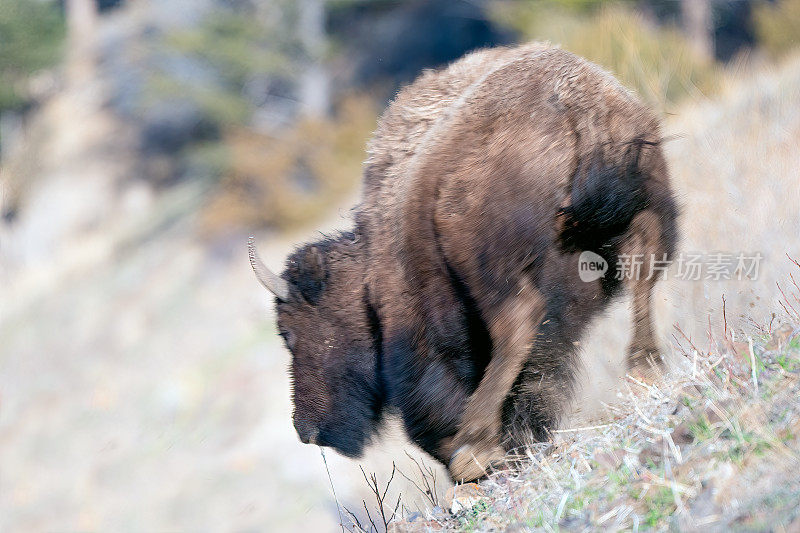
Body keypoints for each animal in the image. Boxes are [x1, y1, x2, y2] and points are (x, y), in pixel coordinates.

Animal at [248, 43, 676, 480]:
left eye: (290, 332)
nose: (307, 430)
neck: (366, 277)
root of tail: (575, 100)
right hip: (642, 209)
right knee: (642, 274)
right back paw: (643, 371)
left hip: (485, 265)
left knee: (517, 322)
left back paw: (474, 448)